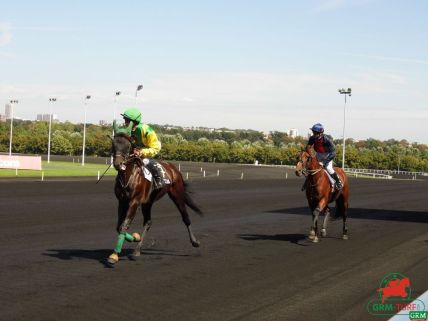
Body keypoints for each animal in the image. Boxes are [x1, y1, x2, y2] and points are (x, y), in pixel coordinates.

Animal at [106, 122, 201, 264]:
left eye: (128, 145)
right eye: (114, 144)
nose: (118, 163)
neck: (129, 176)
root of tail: (173, 169)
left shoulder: (134, 201)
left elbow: (124, 225)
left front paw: (114, 254)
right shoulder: (122, 201)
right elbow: (119, 227)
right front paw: (134, 238)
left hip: (176, 194)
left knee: (185, 217)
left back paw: (194, 241)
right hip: (148, 202)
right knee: (148, 222)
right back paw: (137, 249)